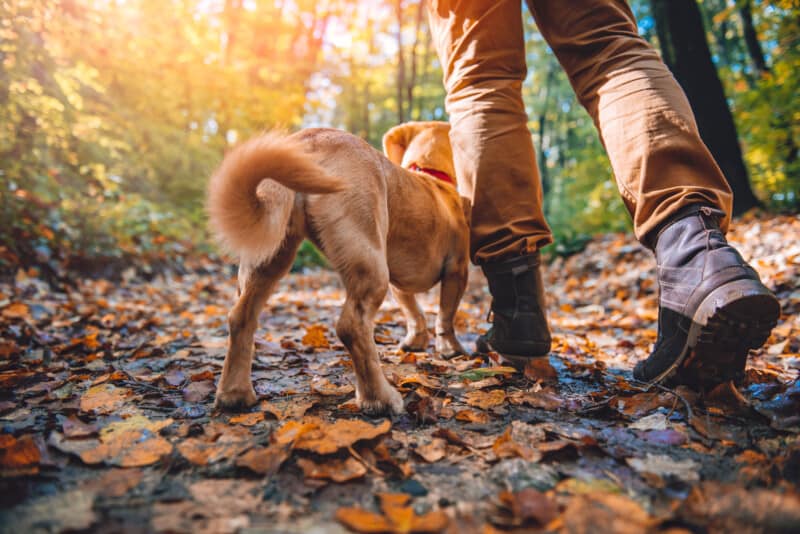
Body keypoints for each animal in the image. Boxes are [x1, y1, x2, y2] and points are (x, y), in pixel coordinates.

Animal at [206, 121, 468, 414]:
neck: (430, 177)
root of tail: (309, 139)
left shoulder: (400, 285)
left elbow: (414, 312)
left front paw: (416, 342)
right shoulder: (457, 270)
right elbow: (445, 316)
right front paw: (451, 348)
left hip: (268, 259)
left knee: (240, 318)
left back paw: (234, 393)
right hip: (370, 261)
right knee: (352, 327)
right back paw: (379, 397)